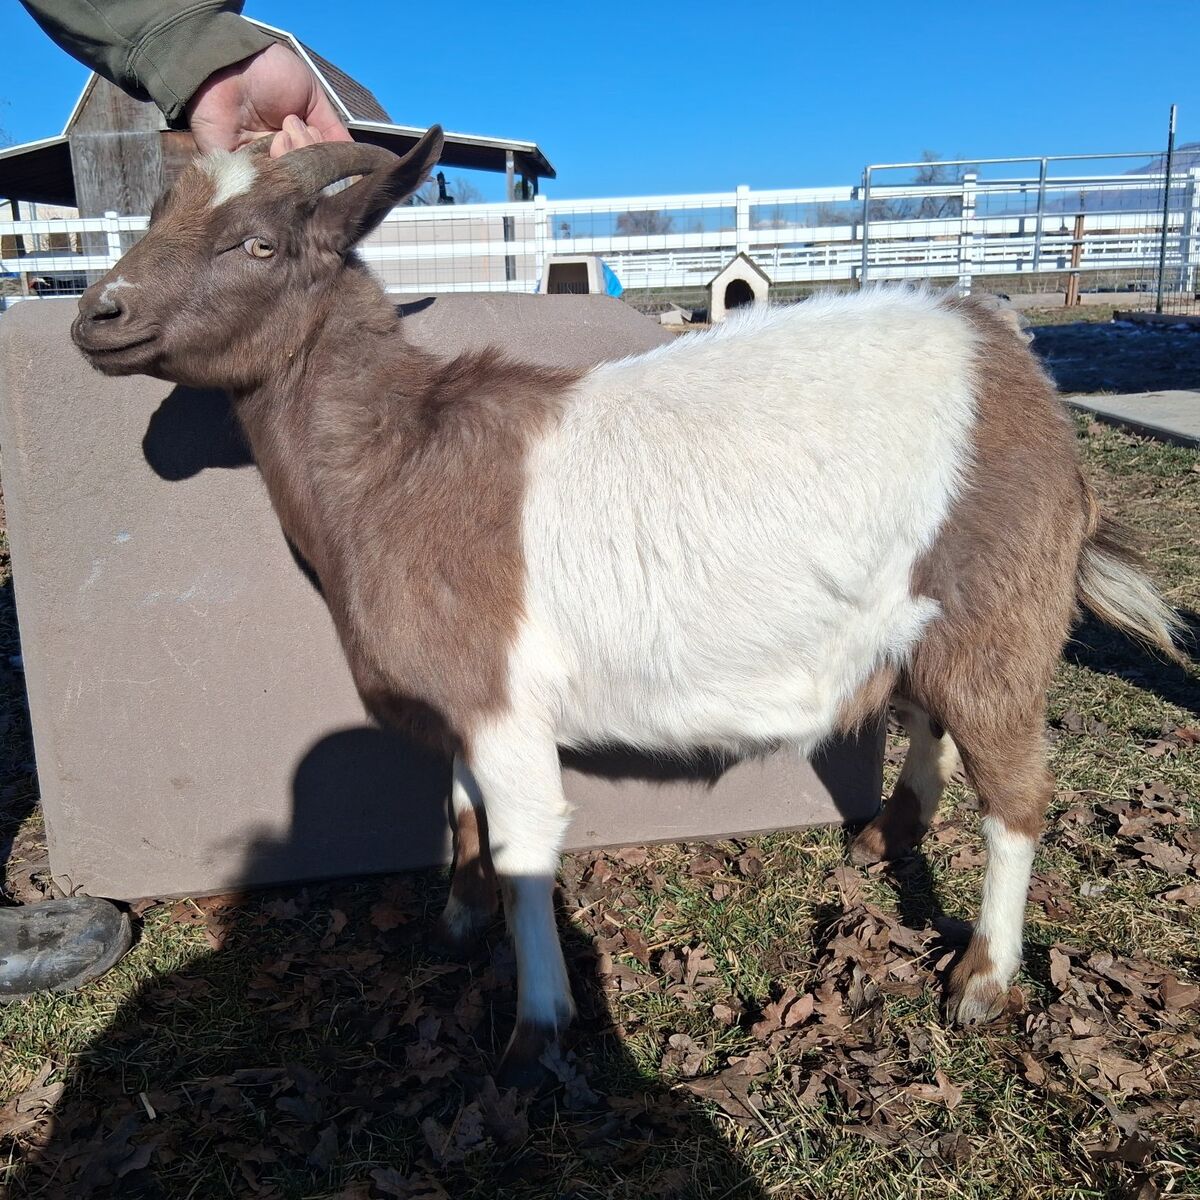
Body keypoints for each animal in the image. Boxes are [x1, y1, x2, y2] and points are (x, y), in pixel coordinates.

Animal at [72, 130, 1182, 1082]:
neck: (396, 457)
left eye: (258, 242)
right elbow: (460, 805)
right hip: (926, 612)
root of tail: (1011, 357)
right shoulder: (459, 700)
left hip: (1004, 610)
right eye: (155, 216)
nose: (98, 315)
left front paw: (535, 1031)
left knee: (1019, 793)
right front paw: (460, 917)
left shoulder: (502, 703)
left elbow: (521, 838)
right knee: (929, 714)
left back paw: (983, 978)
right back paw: (886, 835)